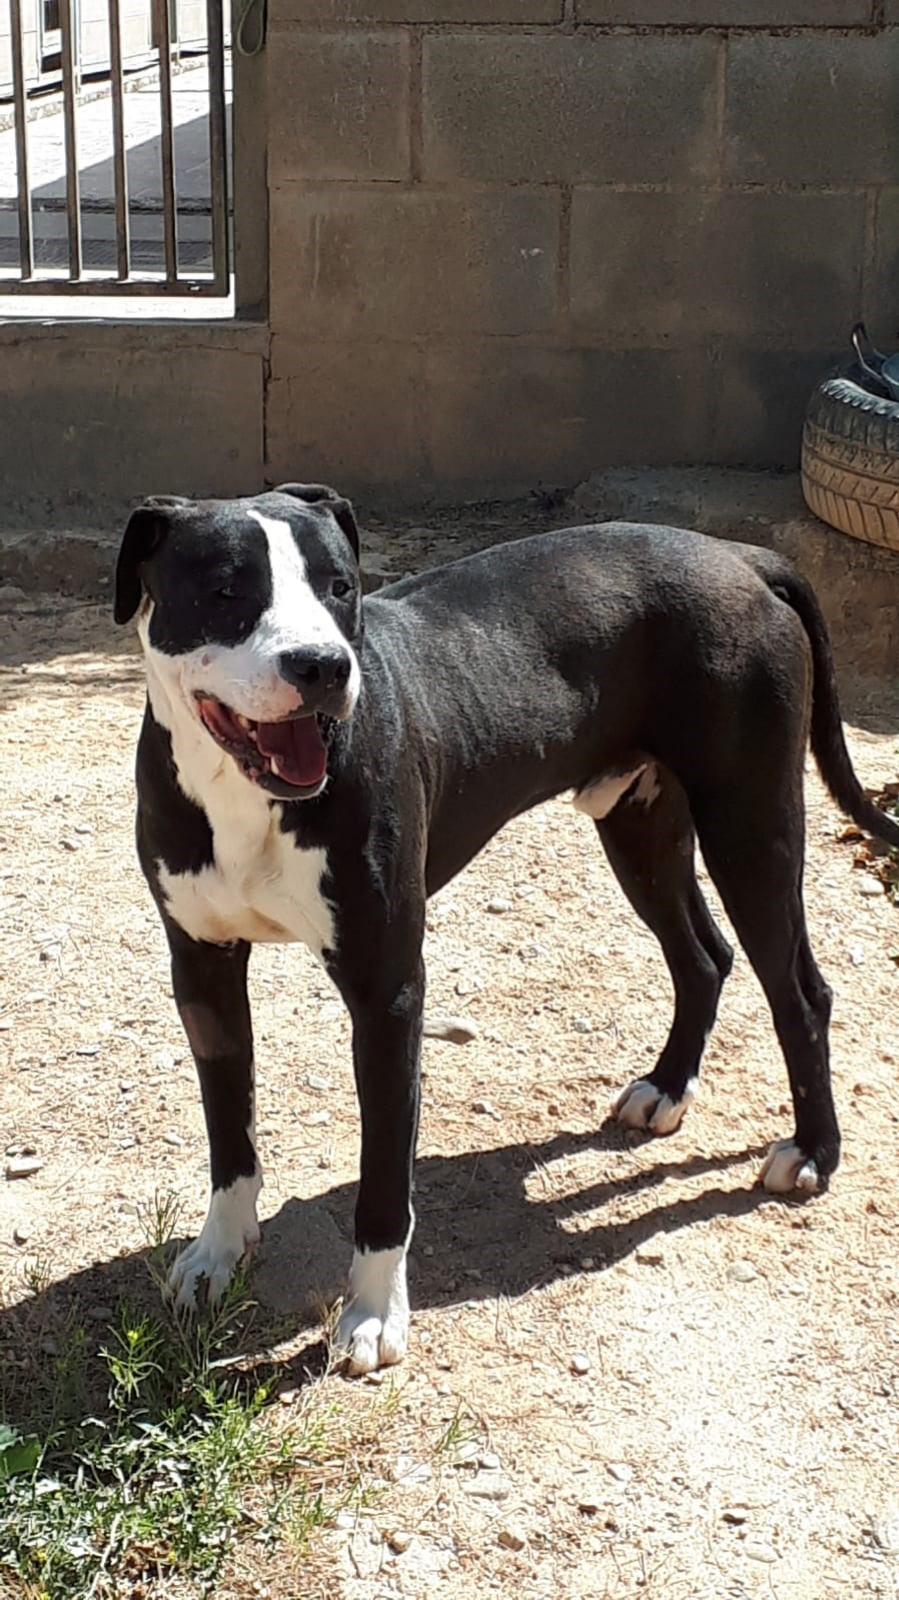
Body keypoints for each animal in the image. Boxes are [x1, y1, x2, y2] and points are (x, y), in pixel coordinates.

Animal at [114, 483, 899, 1375]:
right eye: (225, 591)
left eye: (339, 587)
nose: (323, 664)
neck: (243, 797)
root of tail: (742, 555)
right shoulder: (202, 971)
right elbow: (228, 1128)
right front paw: (218, 1251)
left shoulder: (387, 991)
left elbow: (383, 1175)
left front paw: (374, 1314)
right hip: (641, 823)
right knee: (702, 956)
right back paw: (666, 1086)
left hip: (750, 825)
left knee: (800, 994)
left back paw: (812, 1151)